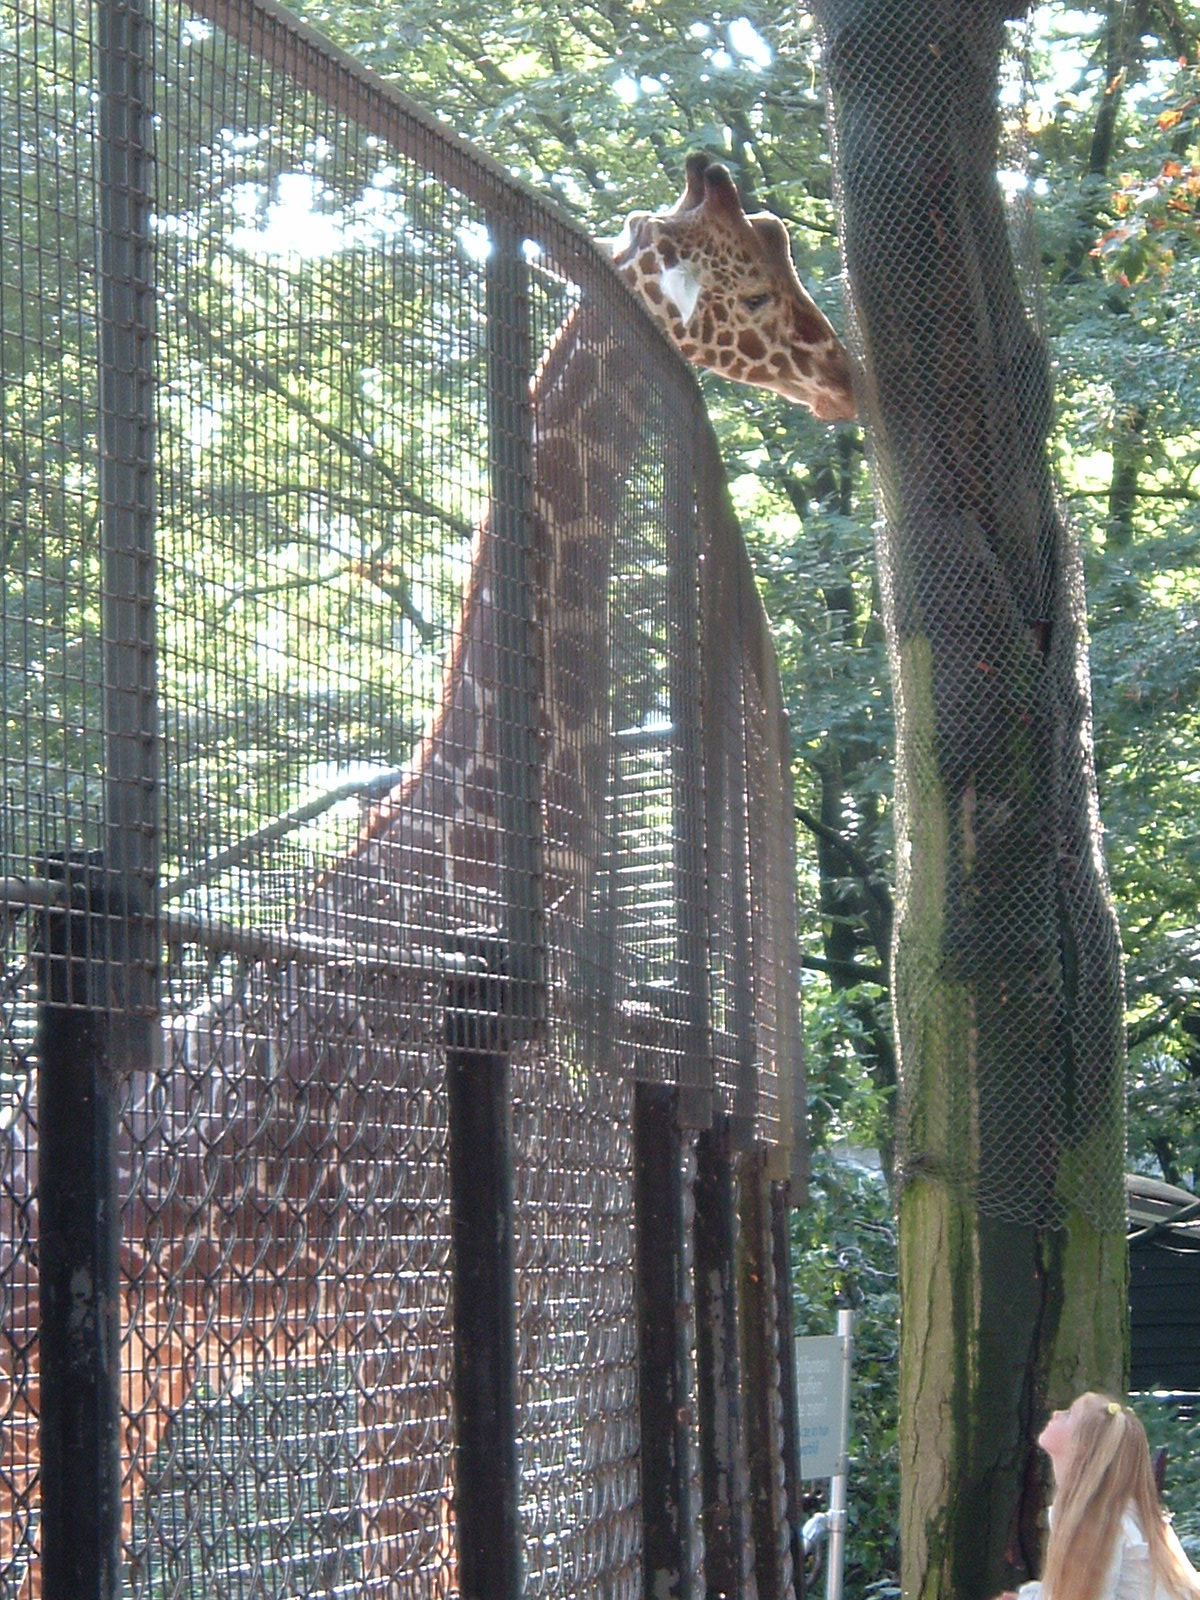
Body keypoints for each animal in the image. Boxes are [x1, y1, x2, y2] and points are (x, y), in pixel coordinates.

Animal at [0, 156, 854, 1597]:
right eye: (743, 281)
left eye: (782, 251)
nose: (840, 370)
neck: (476, 874)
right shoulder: (398, 1307)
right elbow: (414, 1565)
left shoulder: (494, 1303)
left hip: (139, 1367)